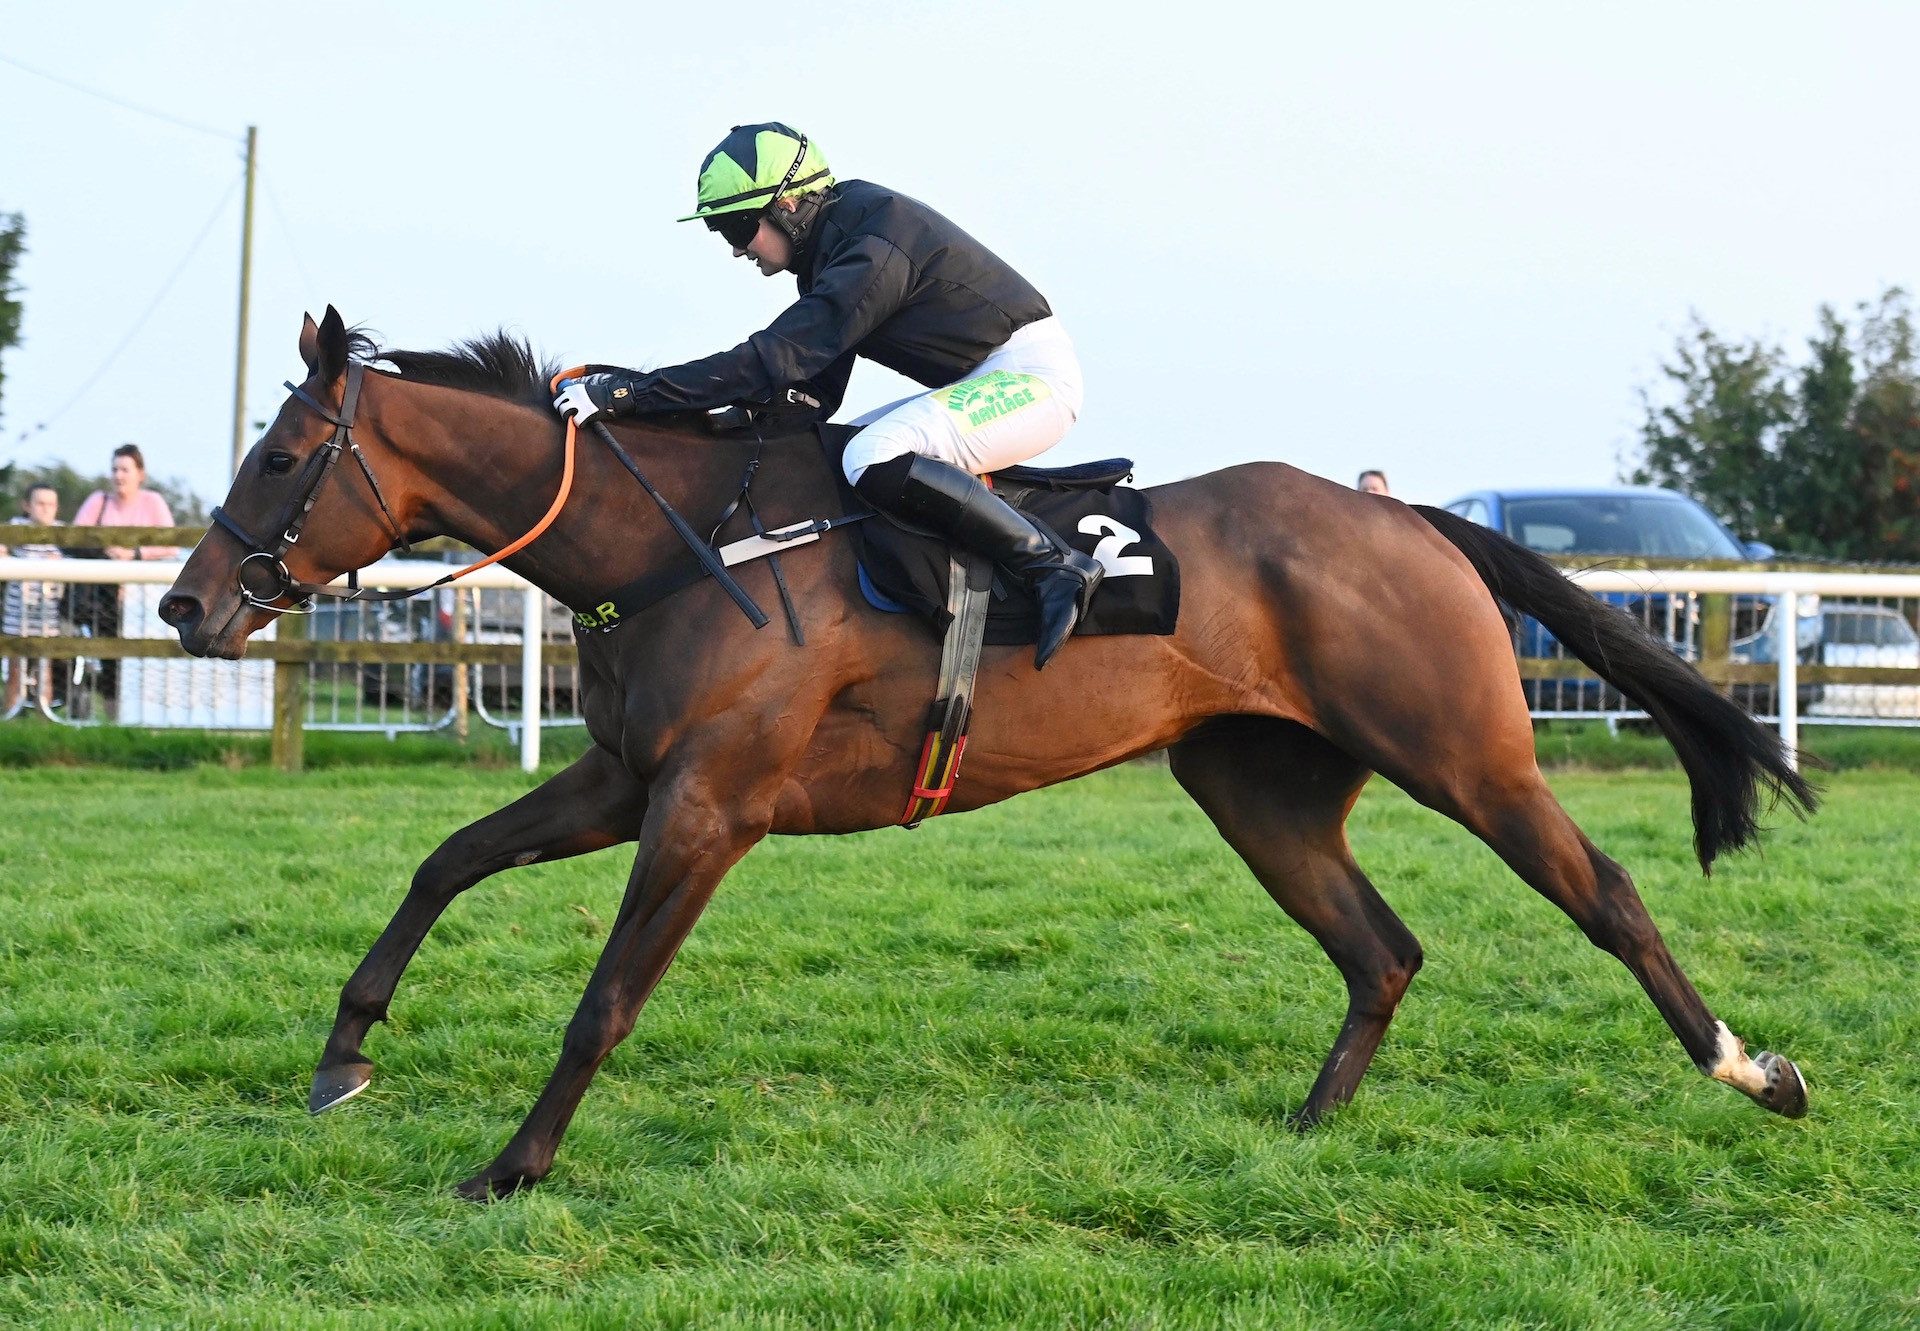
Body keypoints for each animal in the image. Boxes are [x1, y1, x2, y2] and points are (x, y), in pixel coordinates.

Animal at [161, 305, 1812, 1198]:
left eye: (283, 453)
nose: (186, 603)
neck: (679, 541)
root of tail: (1406, 514)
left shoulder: (706, 804)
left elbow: (605, 997)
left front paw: (514, 1162)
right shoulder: (626, 777)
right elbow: (446, 860)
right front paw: (344, 1052)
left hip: (1465, 752)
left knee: (1604, 895)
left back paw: (1755, 1069)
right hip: (1256, 783)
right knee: (1382, 946)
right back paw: (1306, 1124)